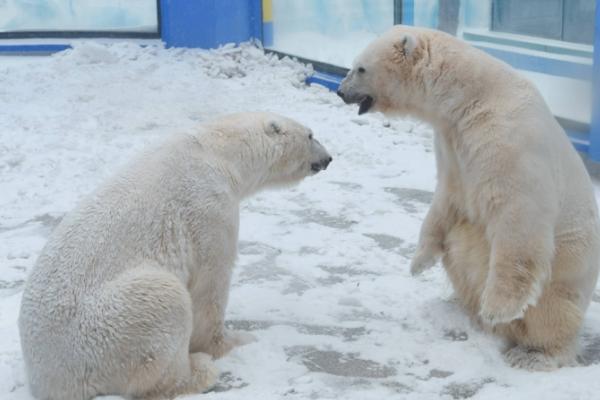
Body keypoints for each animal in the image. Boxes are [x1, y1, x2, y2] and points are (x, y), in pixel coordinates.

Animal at [17, 112, 332, 400]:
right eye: (310, 135)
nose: (328, 158)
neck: (218, 150)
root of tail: (47, 381)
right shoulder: (209, 206)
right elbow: (211, 283)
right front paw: (234, 341)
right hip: (103, 330)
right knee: (165, 301)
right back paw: (199, 371)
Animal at [338, 24, 600, 368]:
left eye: (360, 68)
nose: (340, 91)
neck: (473, 97)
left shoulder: (508, 142)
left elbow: (519, 217)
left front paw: (498, 309)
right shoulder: (452, 142)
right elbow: (447, 197)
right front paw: (418, 263)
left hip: (566, 275)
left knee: (551, 313)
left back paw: (532, 353)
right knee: (459, 246)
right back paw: (458, 306)